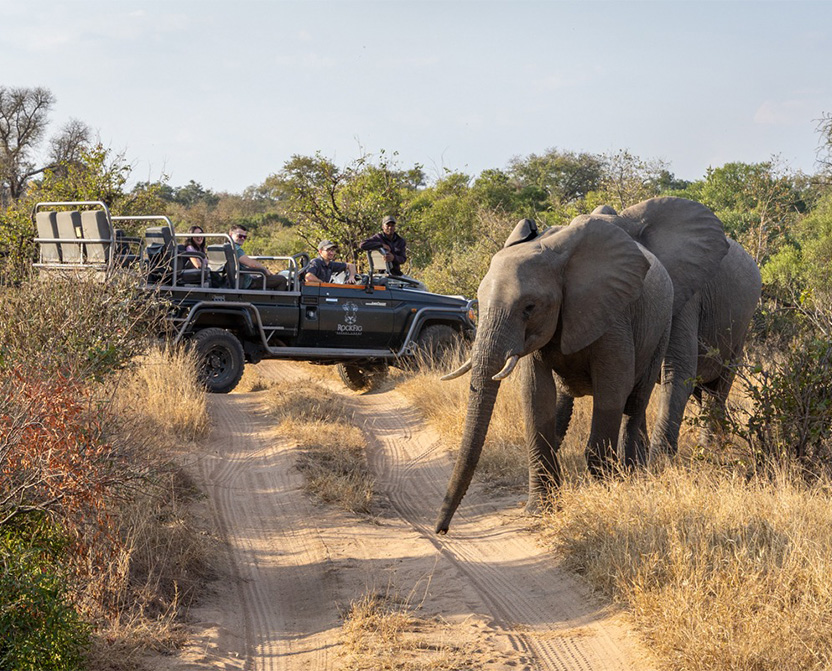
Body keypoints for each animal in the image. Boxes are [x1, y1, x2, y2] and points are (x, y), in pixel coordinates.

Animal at [435, 214, 675, 534]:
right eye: (479, 303)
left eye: (529, 307)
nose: (441, 529)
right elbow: (536, 394)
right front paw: (539, 511)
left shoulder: (613, 315)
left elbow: (613, 389)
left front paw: (606, 495)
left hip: (662, 326)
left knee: (635, 401)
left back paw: (633, 475)